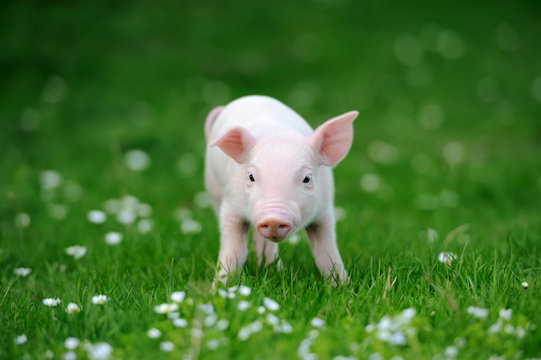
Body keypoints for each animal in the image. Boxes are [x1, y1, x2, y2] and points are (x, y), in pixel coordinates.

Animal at [202, 94, 354, 286]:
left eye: (307, 178)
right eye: (251, 177)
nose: (273, 218)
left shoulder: (324, 209)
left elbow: (327, 252)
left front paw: (343, 287)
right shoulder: (230, 204)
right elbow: (233, 250)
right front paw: (220, 288)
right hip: (213, 187)